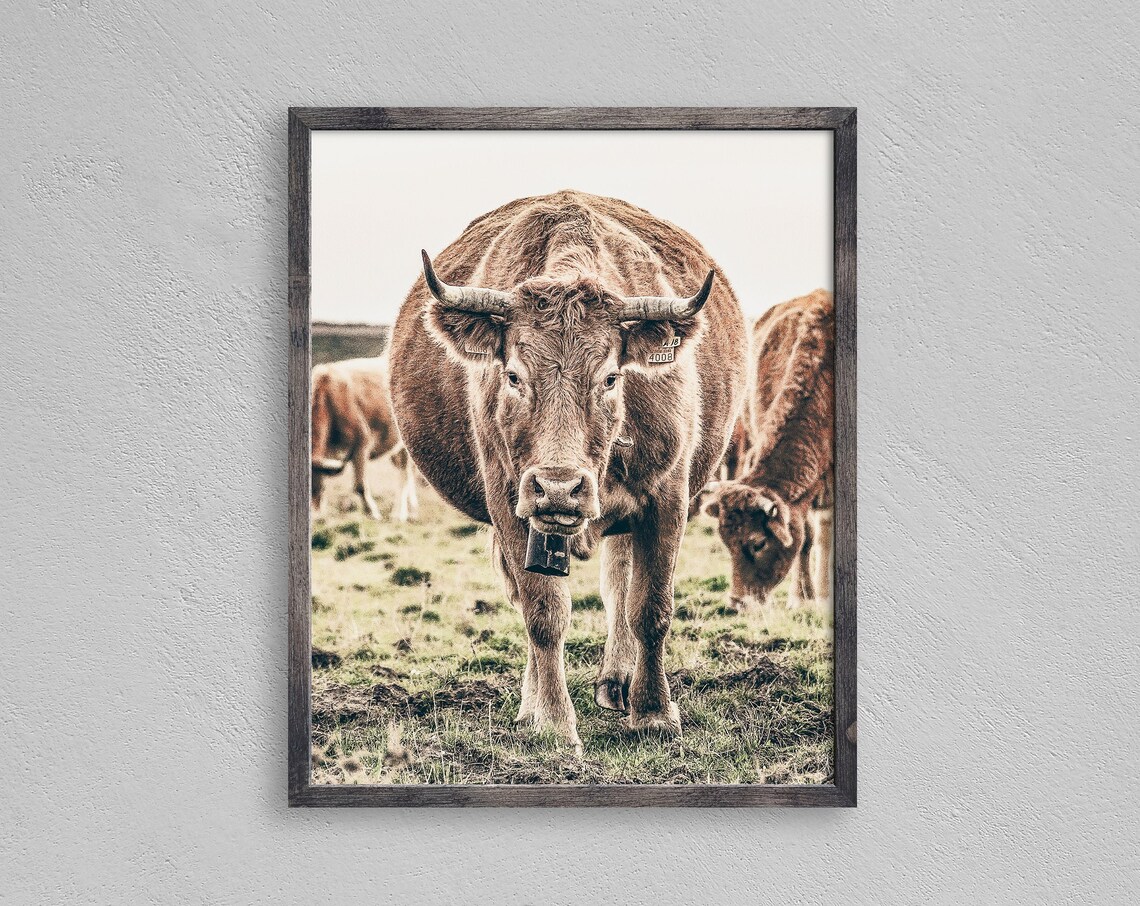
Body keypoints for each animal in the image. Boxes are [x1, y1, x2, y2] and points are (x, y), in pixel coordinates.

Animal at [310, 356, 419, 522]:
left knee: (405, 474)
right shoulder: (328, 452)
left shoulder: (361, 444)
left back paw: (399, 514)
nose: (314, 517)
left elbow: (360, 486)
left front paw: (372, 512)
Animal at [389, 190, 747, 750]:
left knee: (619, 588)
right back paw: (532, 706)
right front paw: (555, 724)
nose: (559, 488)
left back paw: (617, 683)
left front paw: (653, 712)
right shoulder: (511, 504)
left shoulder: (667, 500)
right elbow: (544, 615)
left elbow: (651, 608)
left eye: (610, 377)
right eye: (513, 376)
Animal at [700, 289, 834, 610]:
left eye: (758, 543)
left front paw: (823, 596)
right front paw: (800, 597)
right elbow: (807, 537)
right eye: (726, 543)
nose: (738, 601)